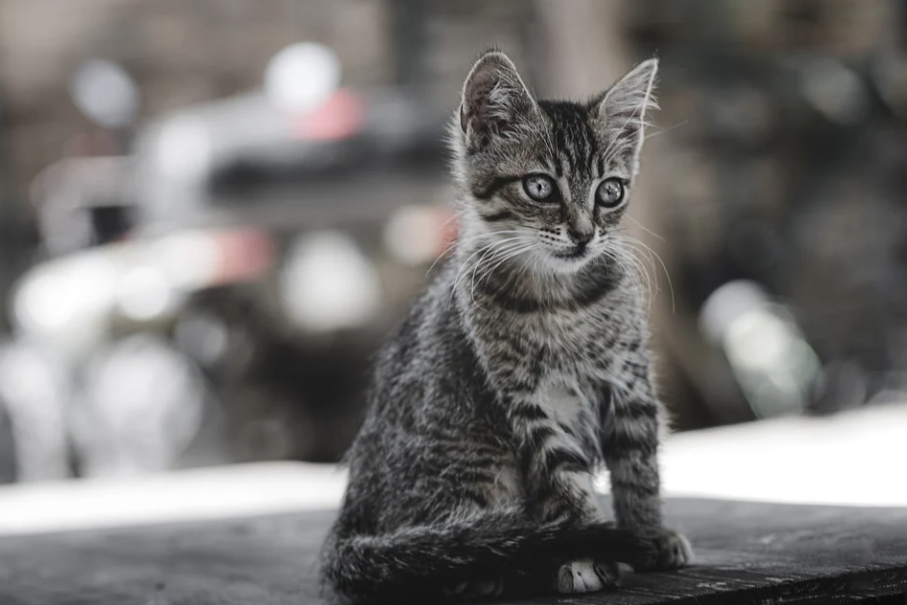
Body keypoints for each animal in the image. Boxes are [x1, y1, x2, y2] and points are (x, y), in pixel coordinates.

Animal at [320, 48, 696, 604]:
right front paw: (584, 551)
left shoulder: (630, 384)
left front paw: (649, 535)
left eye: (610, 192)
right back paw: (491, 562)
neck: (561, 302)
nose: (584, 234)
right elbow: (564, 482)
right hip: (473, 462)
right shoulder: (531, 402)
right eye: (540, 187)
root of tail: (350, 520)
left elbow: (639, 469)